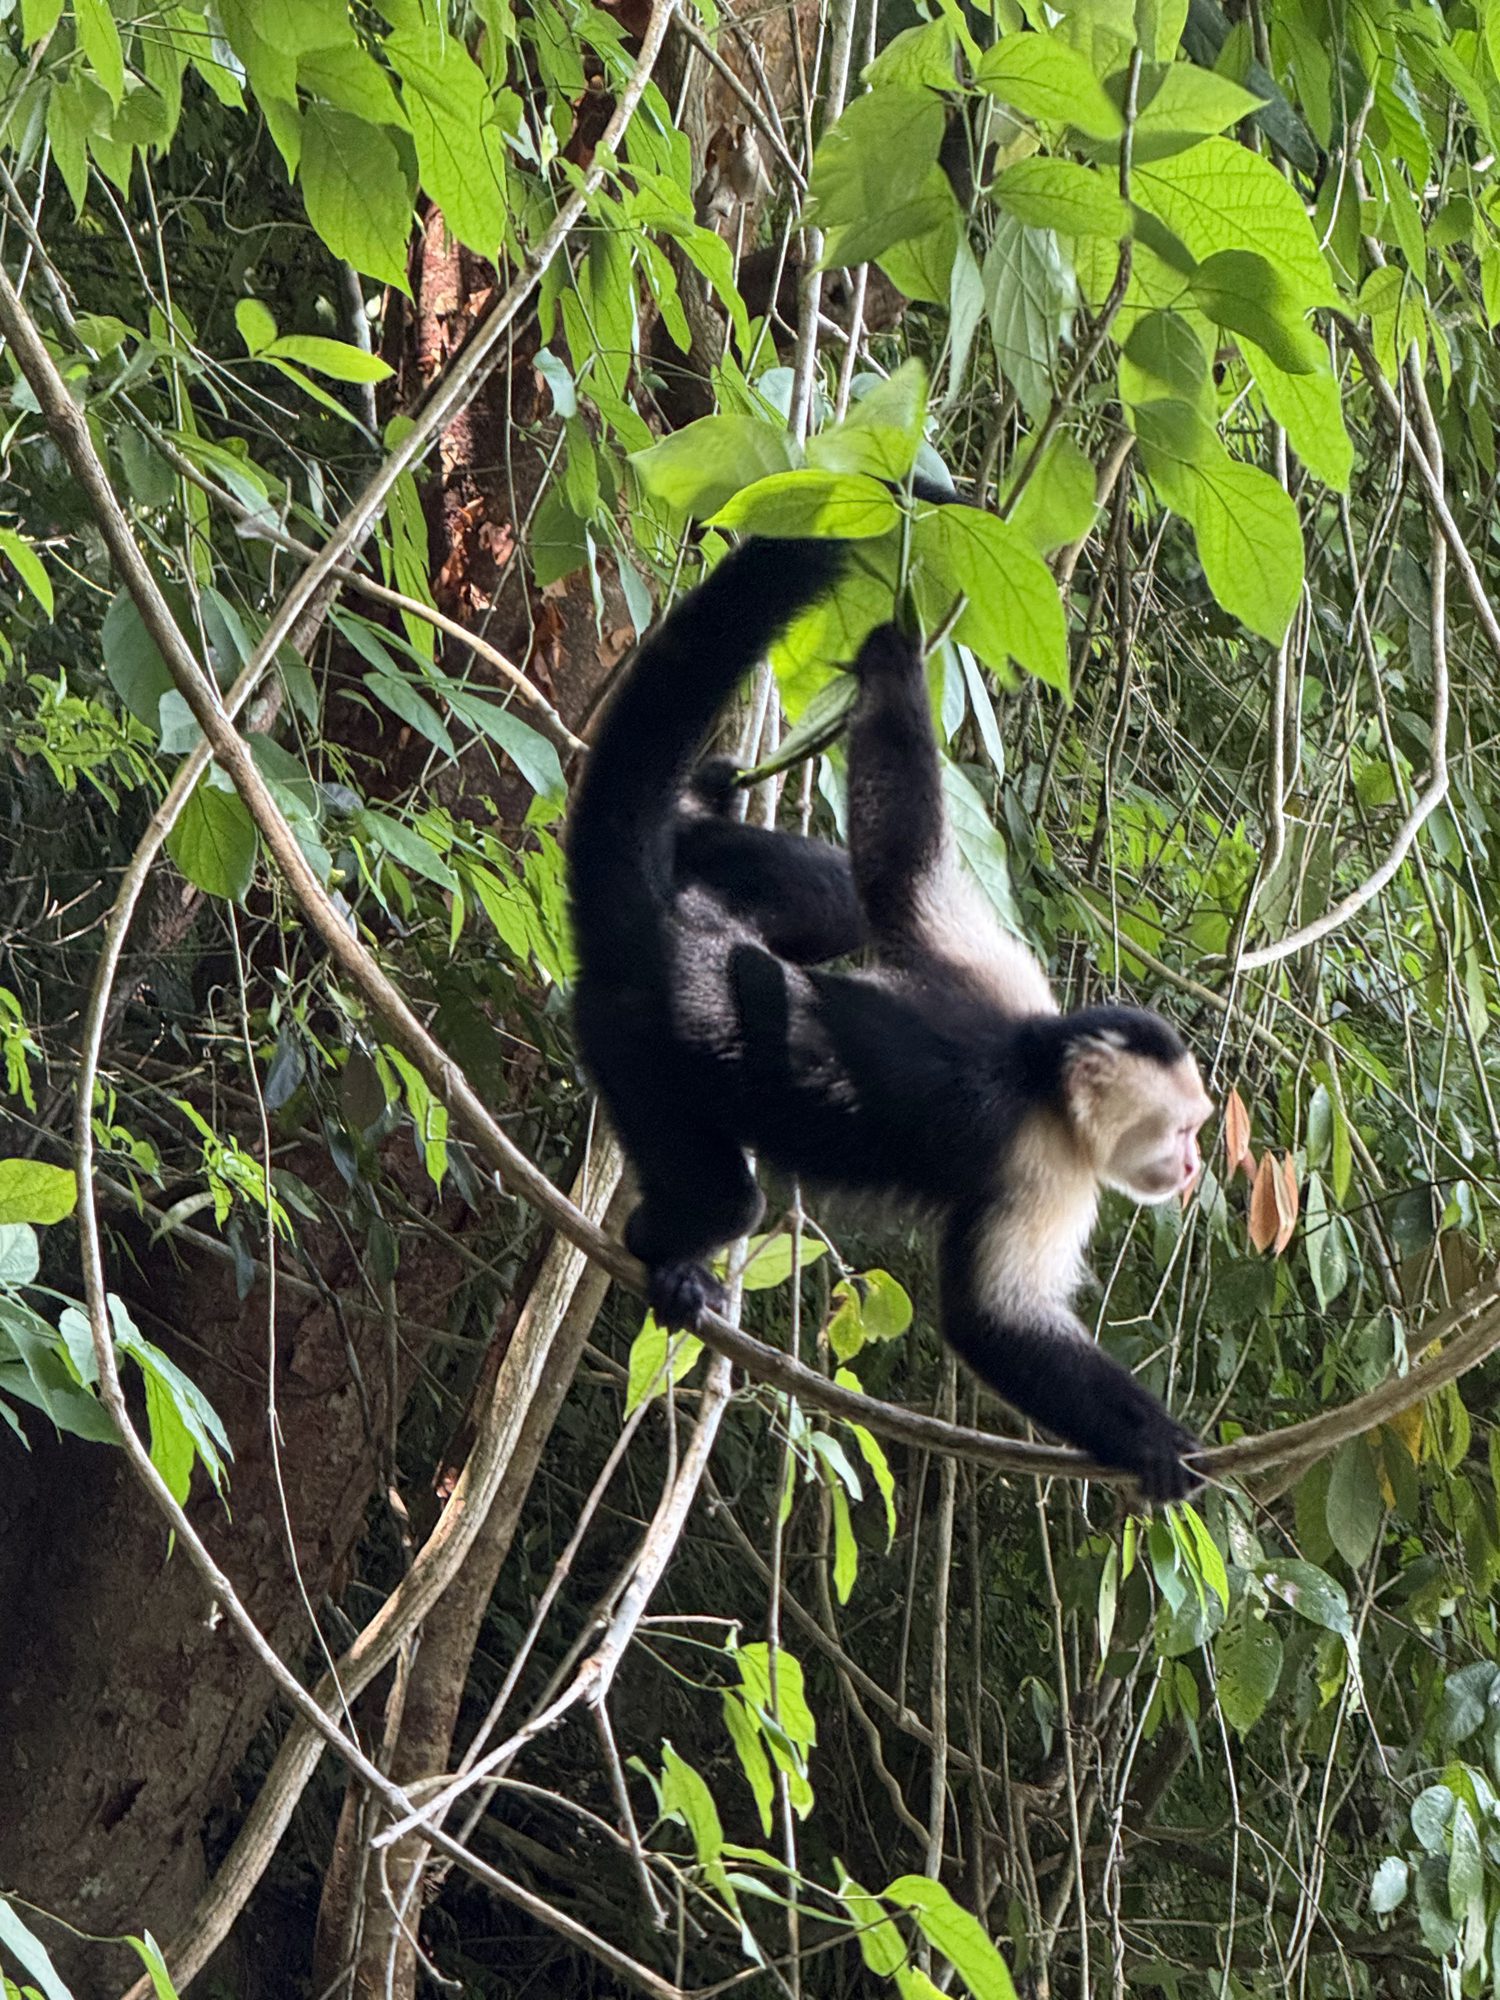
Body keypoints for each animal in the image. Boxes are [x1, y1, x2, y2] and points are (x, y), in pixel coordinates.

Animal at [567, 536, 1214, 1500]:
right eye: (1181, 1130)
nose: (1196, 1165)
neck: (1041, 1063)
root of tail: (656, 930)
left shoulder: (1010, 979)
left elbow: (898, 868)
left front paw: (893, 657)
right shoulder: (1046, 1165)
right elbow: (996, 1324)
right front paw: (1158, 1444)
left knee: (836, 895)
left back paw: (691, 815)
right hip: (636, 1050)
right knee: (727, 1198)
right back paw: (665, 1248)